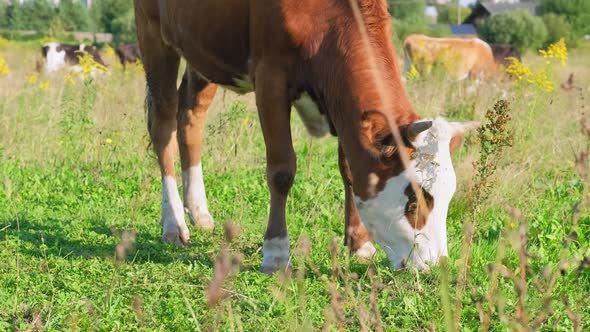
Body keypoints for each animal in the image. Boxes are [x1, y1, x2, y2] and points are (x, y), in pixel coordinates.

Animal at [135, 0, 480, 272]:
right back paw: (173, 222)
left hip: (203, 51)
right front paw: (275, 252)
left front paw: (360, 243)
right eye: (414, 199)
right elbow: (281, 171)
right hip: (153, 32)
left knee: (191, 118)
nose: (437, 264)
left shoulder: (340, 99)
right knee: (163, 122)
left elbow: (349, 169)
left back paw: (199, 211)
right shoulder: (270, 79)